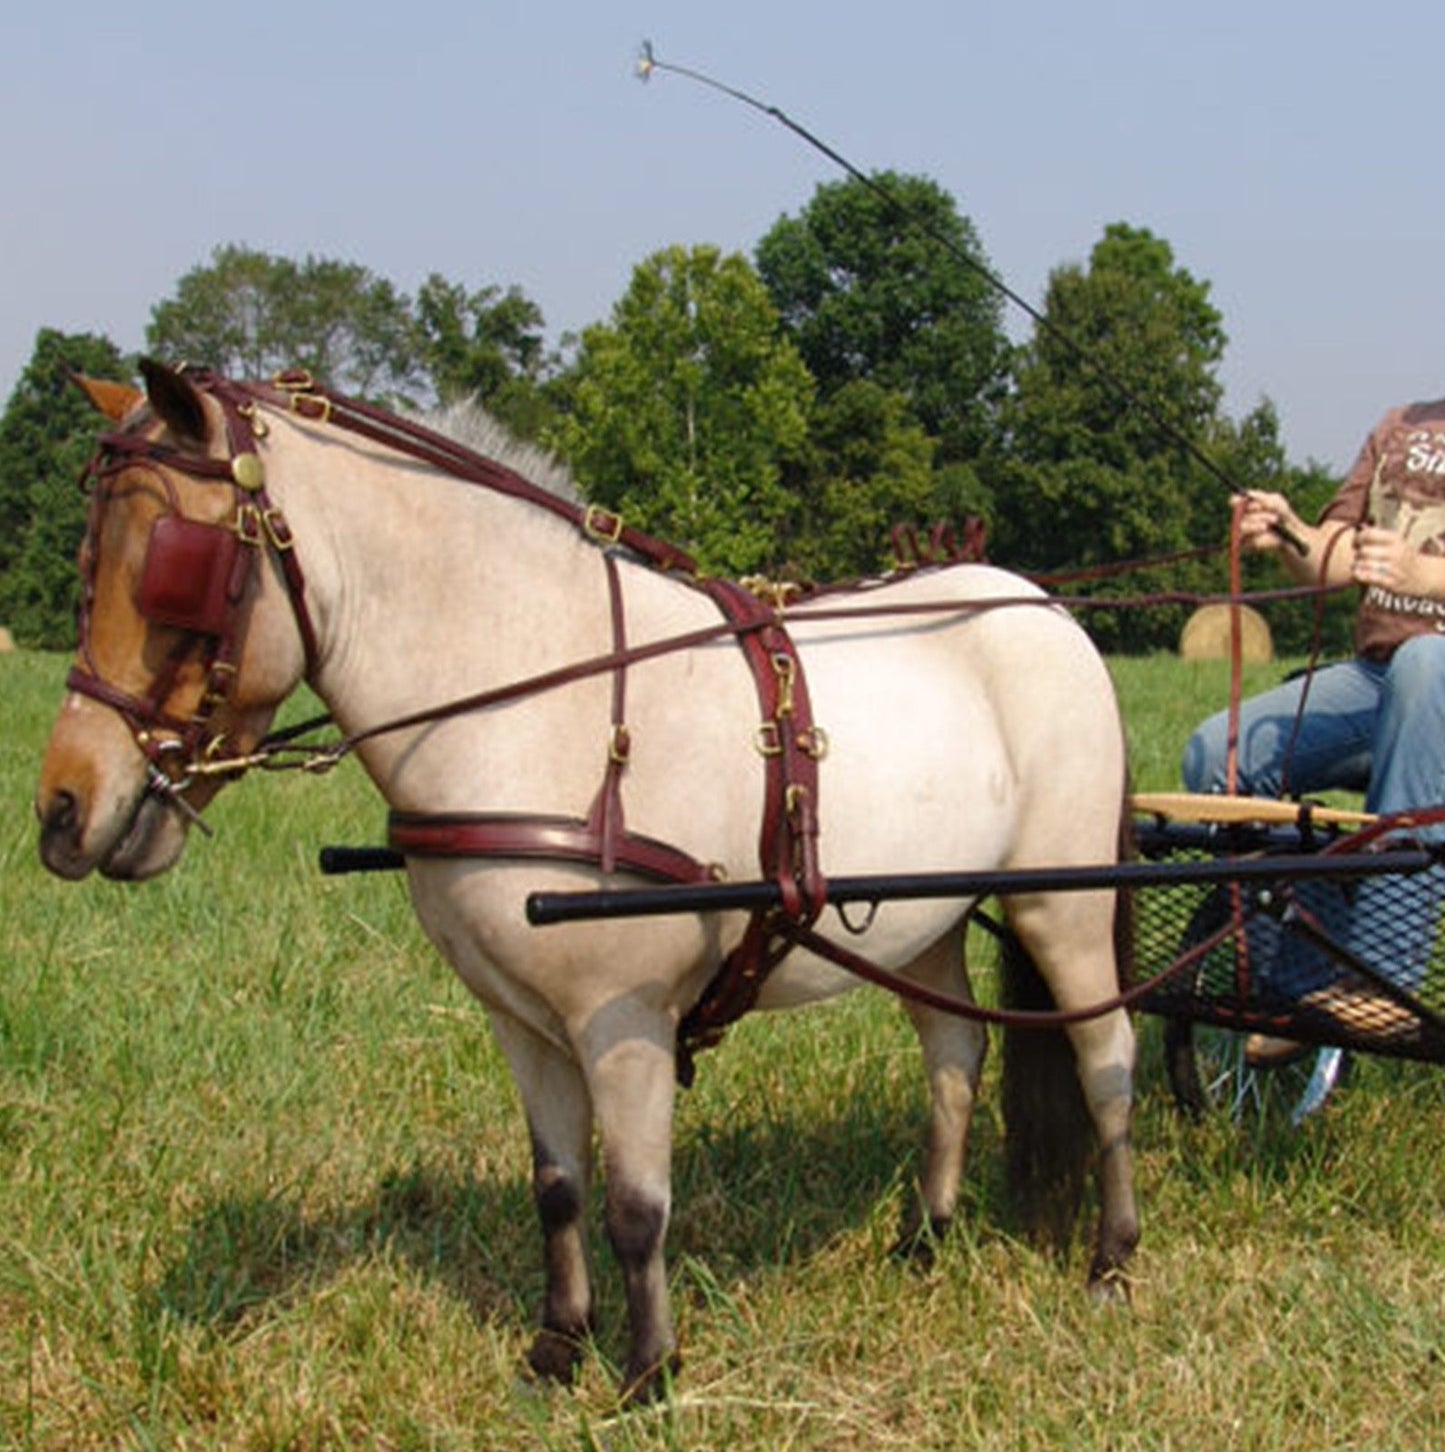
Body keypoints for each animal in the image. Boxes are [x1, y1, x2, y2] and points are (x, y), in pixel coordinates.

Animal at [36, 357, 1138, 1399]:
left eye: (171, 567)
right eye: (86, 566)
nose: (61, 812)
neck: (532, 698)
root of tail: (1039, 605)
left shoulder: (625, 1019)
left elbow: (637, 1206)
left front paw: (648, 1373)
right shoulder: (520, 1021)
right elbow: (558, 1187)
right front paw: (556, 1349)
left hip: (1062, 904)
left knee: (1106, 1061)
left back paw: (1110, 1262)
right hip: (931, 918)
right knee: (953, 1054)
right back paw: (924, 1238)